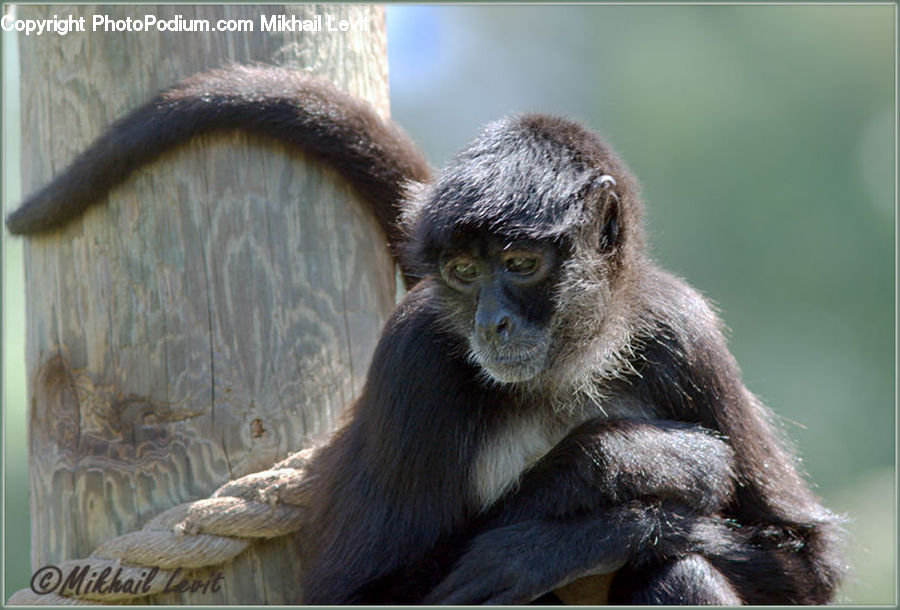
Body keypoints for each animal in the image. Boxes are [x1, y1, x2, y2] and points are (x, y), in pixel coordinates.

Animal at [7, 65, 846, 604]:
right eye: (464, 274)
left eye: (519, 263)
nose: (490, 321)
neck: (557, 377)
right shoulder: (417, 356)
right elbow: (358, 593)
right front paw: (616, 465)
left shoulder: (681, 334)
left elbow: (810, 565)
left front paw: (558, 533)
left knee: (681, 570)